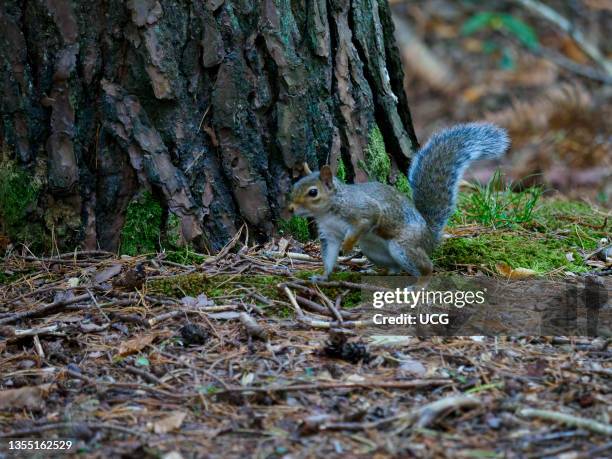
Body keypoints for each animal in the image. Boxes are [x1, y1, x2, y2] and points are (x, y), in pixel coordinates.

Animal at [290, 123, 510, 280]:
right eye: (294, 185)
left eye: (313, 192)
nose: (291, 208)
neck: (328, 211)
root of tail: (430, 237)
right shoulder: (329, 234)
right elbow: (329, 255)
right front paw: (323, 276)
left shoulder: (362, 209)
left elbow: (367, 220)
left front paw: (348, 245)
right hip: (373, 250)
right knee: (395, 269)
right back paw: (380, 273)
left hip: (403, 246)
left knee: (427, 268)